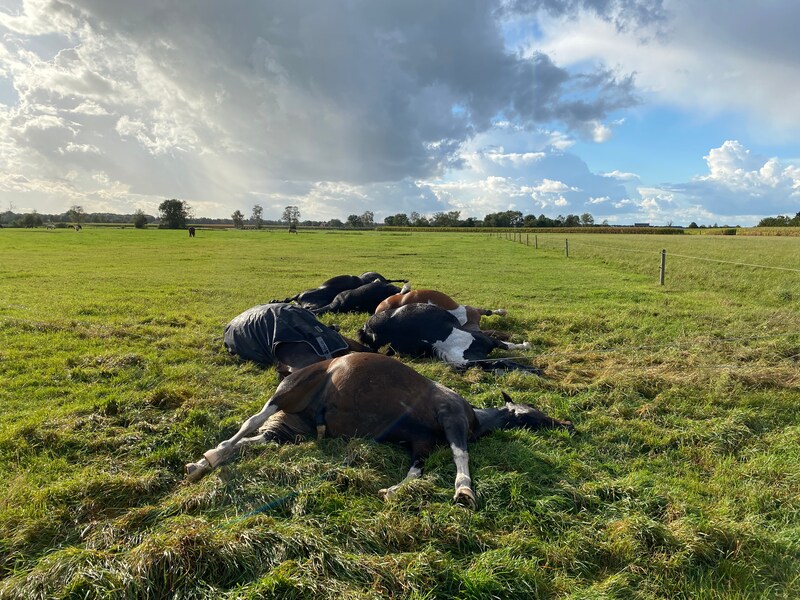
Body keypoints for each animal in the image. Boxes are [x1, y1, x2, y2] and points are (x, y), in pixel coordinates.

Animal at [184, 353, 573, 507]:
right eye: (533, 413)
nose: (568, 425)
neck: (475, 416)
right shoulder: (452, 419)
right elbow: (460, 454)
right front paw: (464, 491)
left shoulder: (420, 442)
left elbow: (416, 471)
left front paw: (392, 491)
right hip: (289, 391)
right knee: (250, 423)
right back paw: (212, 455)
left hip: (294, 429)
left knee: (254, 441)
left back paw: (202, 464)